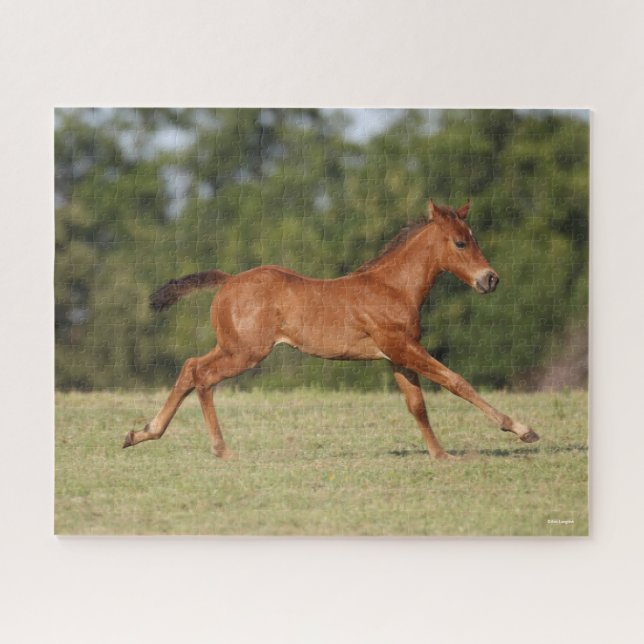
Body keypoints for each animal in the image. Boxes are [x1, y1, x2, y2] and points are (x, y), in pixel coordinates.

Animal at [123, 199, 539, 459]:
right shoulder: (402, 347)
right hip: (246, 352)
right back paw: (221, 449)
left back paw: (141, 433)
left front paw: (441, 455)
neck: (392, 287)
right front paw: (522, 429)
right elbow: (456, 381)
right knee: (203, 376)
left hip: (231, 346)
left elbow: (417, 405)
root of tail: (228, 281)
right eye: (460, 242)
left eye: (474, 239)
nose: (490, 279)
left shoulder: (396, 356)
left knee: (190, 367)